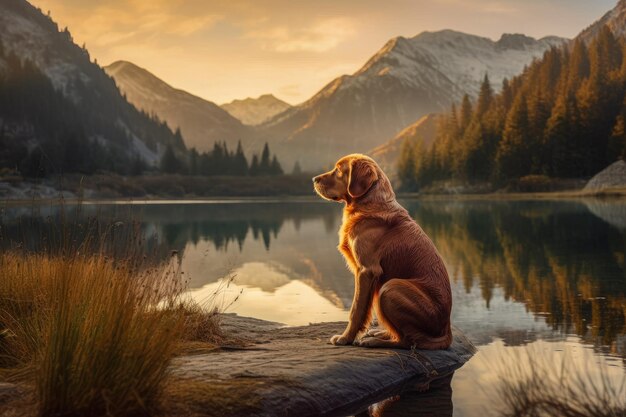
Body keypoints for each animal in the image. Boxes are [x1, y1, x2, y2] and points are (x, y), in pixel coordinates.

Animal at [310, 153, 448, 348]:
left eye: (338, 170)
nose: (314, 179)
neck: (369, 204)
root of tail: (447, 330)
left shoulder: (367, 270)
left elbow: (356, 310)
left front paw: (345, 338)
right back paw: (379, 334)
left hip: (390, 287)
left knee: (408, 340)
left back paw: (374, 341)